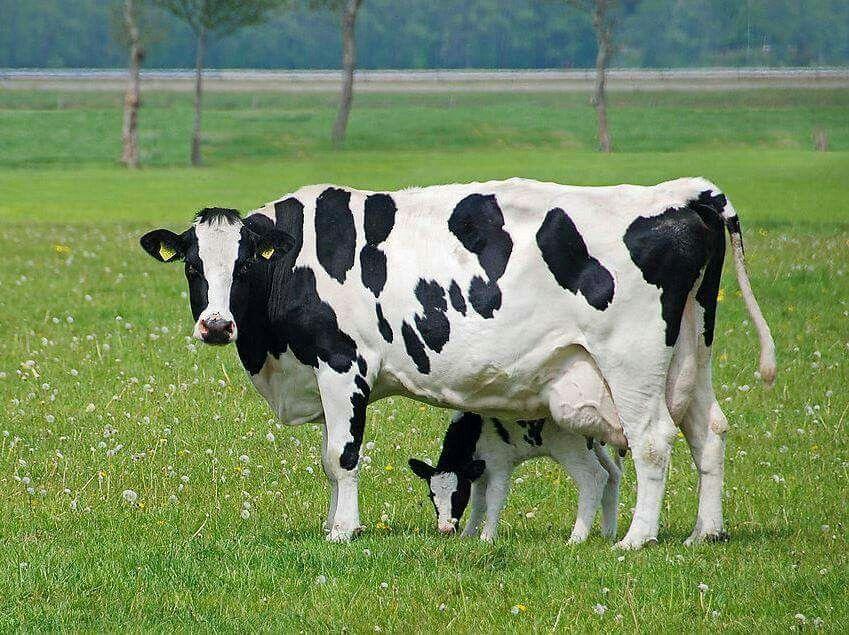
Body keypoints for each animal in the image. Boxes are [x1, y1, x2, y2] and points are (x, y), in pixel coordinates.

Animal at [408, 410, 624, 543]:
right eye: (431, 496)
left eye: (458, 495)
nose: (445, 529)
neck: (475, 428)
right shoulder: (480, 471)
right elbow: (478, 503)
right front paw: (468, 535)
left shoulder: (499, 465)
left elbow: (494, 498)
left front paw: (487, 537)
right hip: (593, 447)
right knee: (612, 474)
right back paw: (608, 533)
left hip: (570, 447)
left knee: (595, 477)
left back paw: (576, 538)